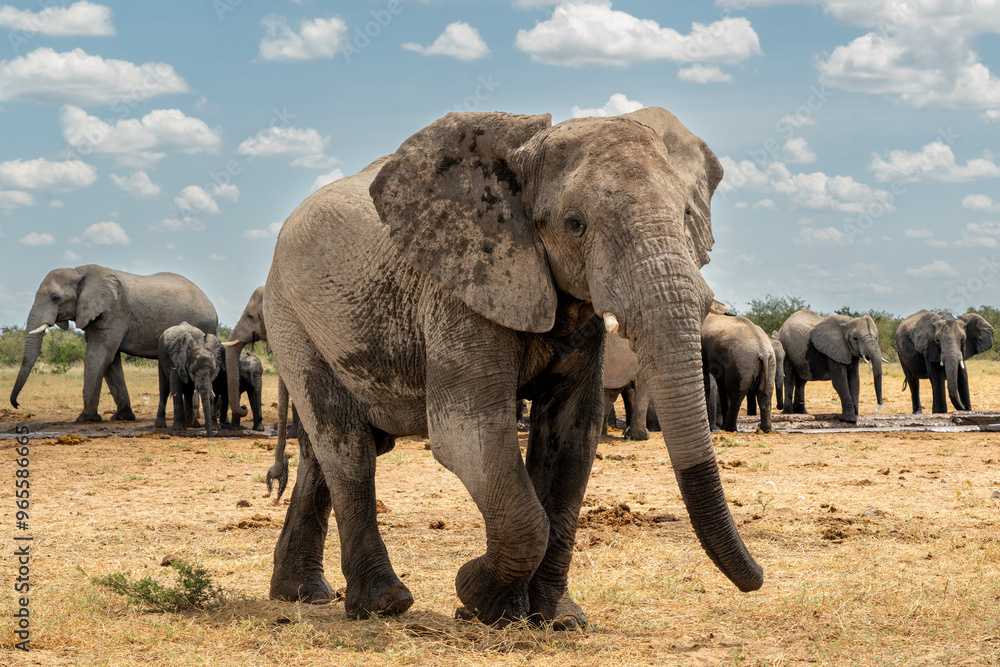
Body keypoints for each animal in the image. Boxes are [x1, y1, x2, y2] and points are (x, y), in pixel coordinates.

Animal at [9, 264, 218, 423]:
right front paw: (122, 418)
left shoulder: (113, 313)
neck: (79, 272)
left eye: (55, 298)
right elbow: (110, 361)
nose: (17, 404)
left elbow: (98, 356)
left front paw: (85, 419)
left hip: (202, 324)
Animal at [262, 108, 763, 627]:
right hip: (289, 317)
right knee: (348, 447)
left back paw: (301, 594)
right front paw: (478, 598)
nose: (757, 580)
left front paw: (557, 619)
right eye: (575, 223)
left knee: (323, 451)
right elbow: (469, 435)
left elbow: (573, 434)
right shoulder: (461, 289)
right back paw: (383, 604)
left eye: (687, 215)